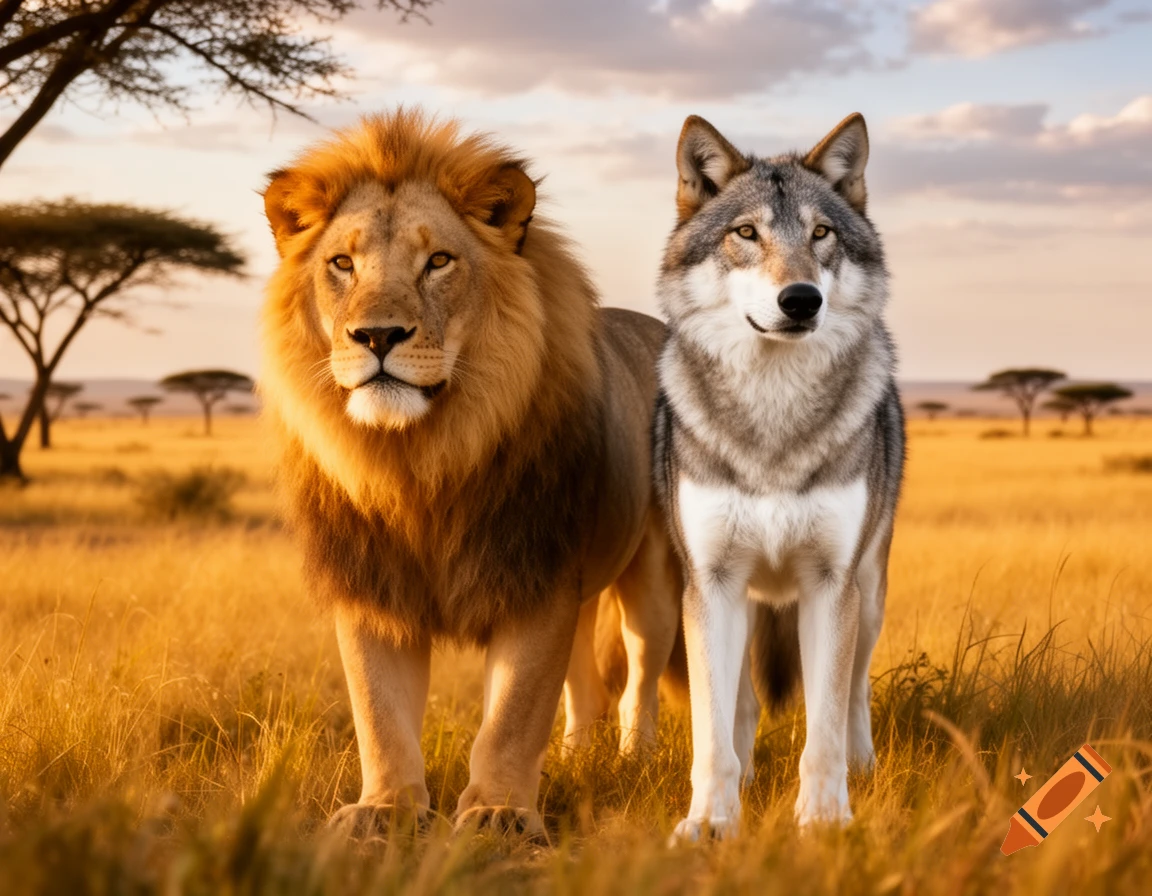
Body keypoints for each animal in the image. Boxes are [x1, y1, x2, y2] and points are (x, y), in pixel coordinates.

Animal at [258, 110, 682, 836]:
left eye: (438, 261)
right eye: (342, 263)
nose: (376, 337)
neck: (421, 460)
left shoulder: (534, 578)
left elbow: (513, 713)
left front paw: (498, 814)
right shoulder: (372, 584)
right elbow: (380, 712)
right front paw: (385, 811)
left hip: (651, 578)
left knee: (640, 677)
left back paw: (636, 761)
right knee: (585, 686)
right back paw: (574, 759)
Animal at [653, 113, 905, 839]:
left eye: (821, 233)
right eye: (747, 233)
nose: (800, 300)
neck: (774, 416)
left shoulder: (831, 585)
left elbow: (822, 727)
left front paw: (823, 822)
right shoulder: (710, 584)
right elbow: (712, 732)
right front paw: (710, 823)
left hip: (869, 594)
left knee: (854, 694)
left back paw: (864, 765)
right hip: (733, 599)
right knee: (739, 706)